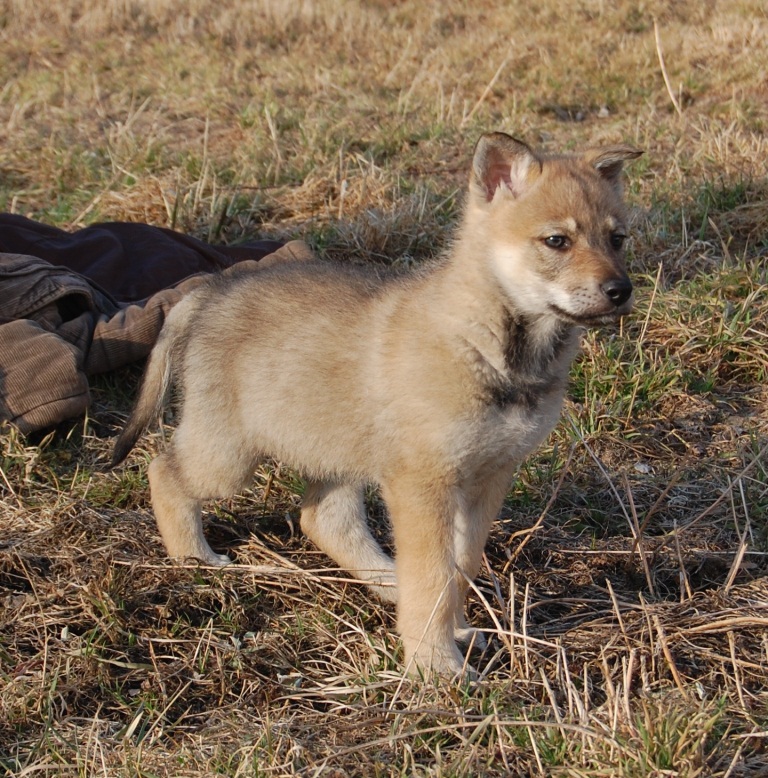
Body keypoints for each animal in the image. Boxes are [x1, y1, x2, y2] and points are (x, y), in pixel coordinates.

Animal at [112, 135, 640, 680]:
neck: (486, 344)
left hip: (335, 446)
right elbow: (433, 574)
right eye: (557, 241)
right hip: (229, 458)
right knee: (164, 471)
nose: (622, 291)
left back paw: (388, 581)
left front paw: (452, 631)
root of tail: (207, 291)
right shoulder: (423, 484)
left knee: (323, 520)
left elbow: (459, 567)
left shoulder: (489, 477)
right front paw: (435, 666)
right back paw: (194, 559)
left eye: (618, 239)